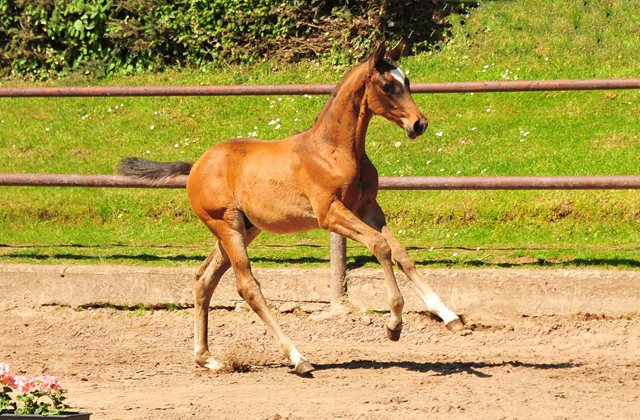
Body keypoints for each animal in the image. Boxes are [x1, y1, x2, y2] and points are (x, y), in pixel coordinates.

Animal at [117, 41, 462, 376]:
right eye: (388, 86)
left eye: (408, 82)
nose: (419, 124)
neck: (334, 150)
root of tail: (196, 167)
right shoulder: (330, 214)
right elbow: (380, 246)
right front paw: (394, 324)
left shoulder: (368, 209)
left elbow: (401, 253)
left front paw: (448, 316)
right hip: (227, 226)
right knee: (248, 286)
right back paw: (298, 358)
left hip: (243, 229)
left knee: (204, 278)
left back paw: (208, 360)